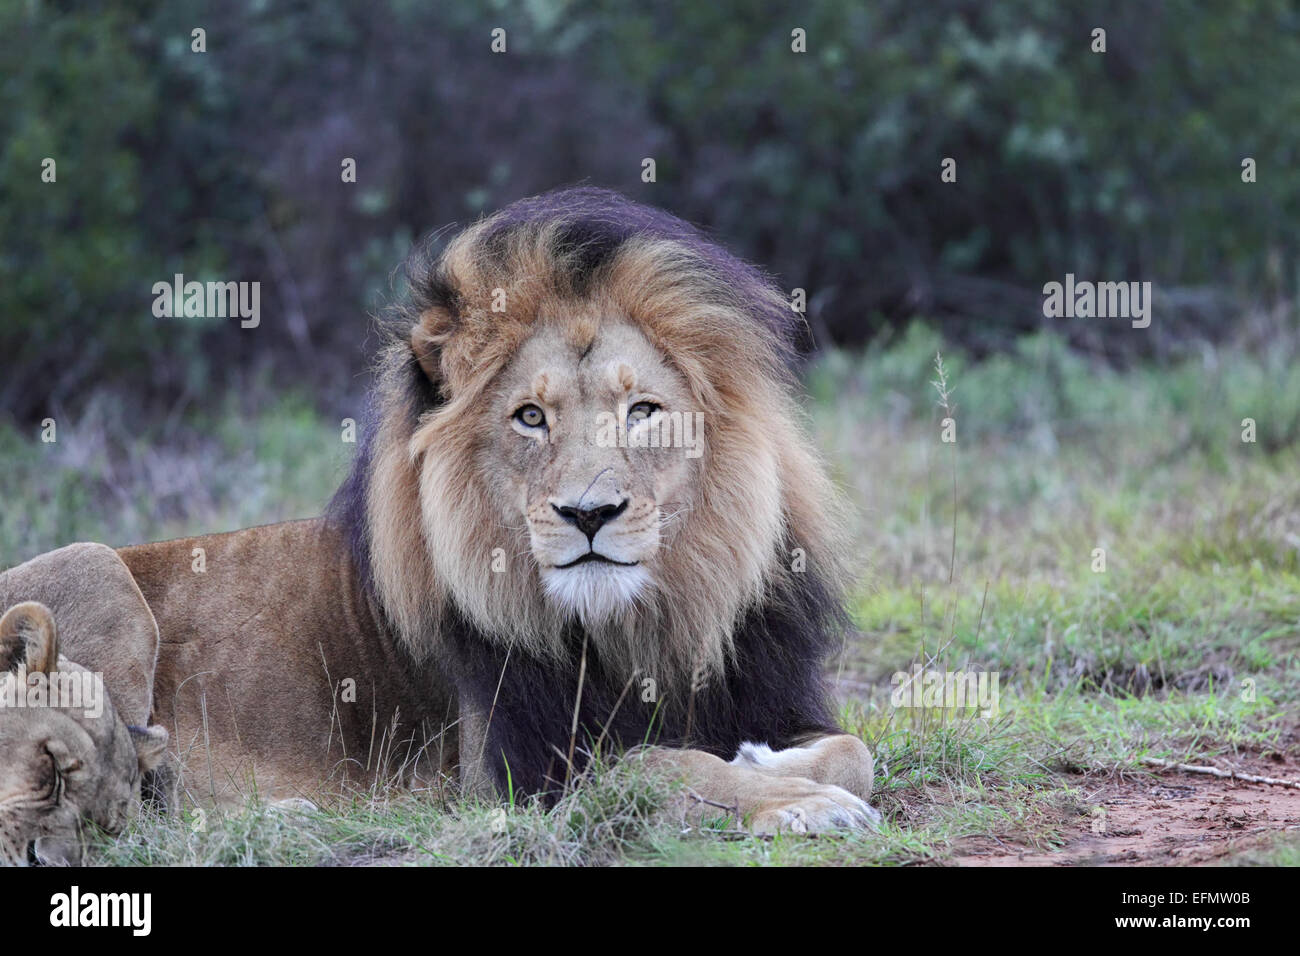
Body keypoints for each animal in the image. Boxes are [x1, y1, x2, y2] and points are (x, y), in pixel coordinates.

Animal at [1, 187, 878, 834]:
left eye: (643, 412)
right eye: (531, 417)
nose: (589, 513)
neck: (635, 630)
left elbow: (853, 748)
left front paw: (770, 764)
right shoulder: (517, 773)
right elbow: (664, 764)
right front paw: (801, 803)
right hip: (93, 564)